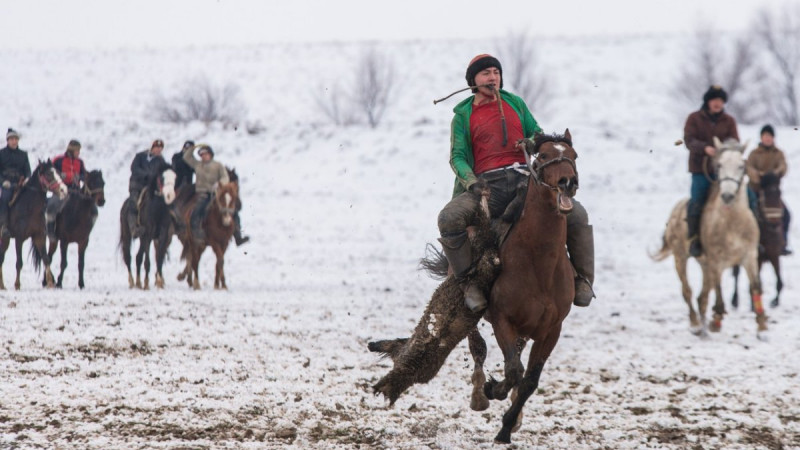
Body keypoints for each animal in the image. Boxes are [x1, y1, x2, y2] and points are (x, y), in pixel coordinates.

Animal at [0, 160, 67, 290]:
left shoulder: (39, 236)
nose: (64, 190)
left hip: (5, 239)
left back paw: (2, 285)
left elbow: (46, 259)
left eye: (58, 172)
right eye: (48, 174)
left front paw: (50, 283)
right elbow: (19, 262)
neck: (29, 207)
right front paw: (17, 285)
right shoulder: (19, 238)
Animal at [648, 136, 768, 338]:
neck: (732, 222)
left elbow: (756, 286)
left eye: (741, 165)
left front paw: (762, 326)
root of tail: (675, 212)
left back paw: (703, 326)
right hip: (681, 258)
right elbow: (718, 290)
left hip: (704, 266)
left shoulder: (750, 256)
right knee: (687, 291)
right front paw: (716, 320)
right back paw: (696, 325)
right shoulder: (715, 260)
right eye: (719, 165)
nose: (727, 196)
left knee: (702, 297)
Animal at [736, 172, 784, 310]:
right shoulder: (756, 258)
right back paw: (734, 300)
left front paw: (775, 301)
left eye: (780, 193)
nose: (775, 225)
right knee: (736, 275)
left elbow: (779, 279)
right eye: (765, 195)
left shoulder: (773, 254)